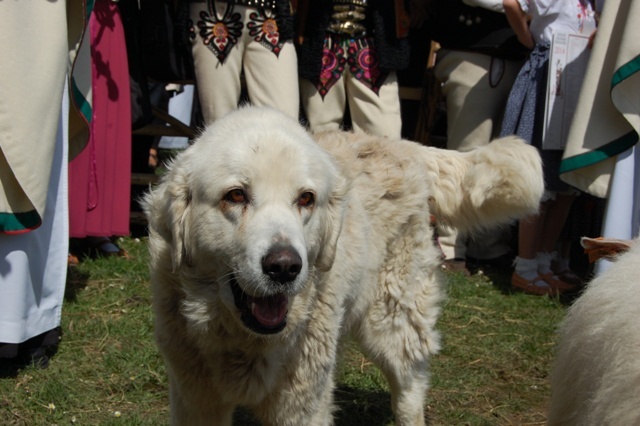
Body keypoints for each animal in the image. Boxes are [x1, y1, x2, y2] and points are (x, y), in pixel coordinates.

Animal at [144, 106, 540, 426]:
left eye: (306, 199)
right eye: (236, 195)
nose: (285, 267)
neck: (244, 342)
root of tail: (405, 146)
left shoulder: (301, 407)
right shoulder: (195, 400)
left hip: (392, 322)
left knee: (409, 392)